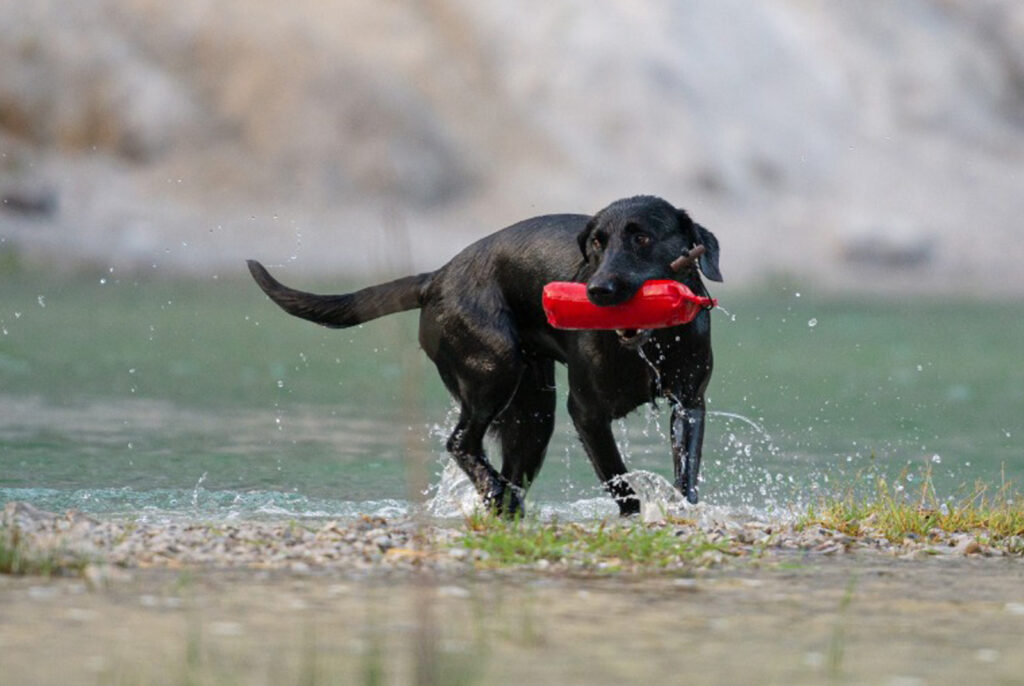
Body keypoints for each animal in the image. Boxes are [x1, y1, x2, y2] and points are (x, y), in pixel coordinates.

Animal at [249, 193, 720, 516]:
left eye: (642, 238)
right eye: (596, 245)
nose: (596, 290)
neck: (649, 346)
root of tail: (436, 277)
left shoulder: (689, 403)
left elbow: (686, 468)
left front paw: (683, 510)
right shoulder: (586, 412)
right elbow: (617, 475)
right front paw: (637, 516)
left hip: (533, 413)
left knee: (505, 466)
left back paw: (503, 503)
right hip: (494, 368)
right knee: (460, 441)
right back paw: (494, 491)